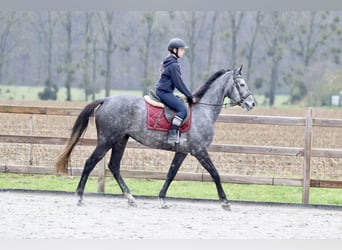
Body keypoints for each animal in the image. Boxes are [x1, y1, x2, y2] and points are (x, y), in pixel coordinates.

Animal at [54, 65, 255, 210]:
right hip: (107, 140)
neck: (203, 111)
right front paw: (225, 202)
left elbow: (171, 173)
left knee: (114, 166)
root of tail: (106, 100)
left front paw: (162, 199)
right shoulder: (199, 150)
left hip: (120, 140)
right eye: (242, 84)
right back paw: (80, 196)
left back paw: (130, 198)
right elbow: (215, 173)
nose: (252, 103)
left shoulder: (182, 152)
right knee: (91, 162)